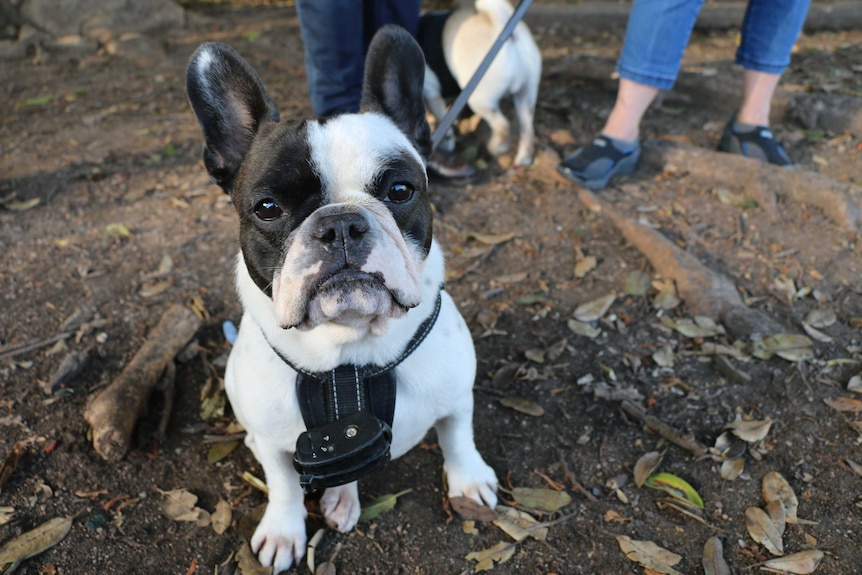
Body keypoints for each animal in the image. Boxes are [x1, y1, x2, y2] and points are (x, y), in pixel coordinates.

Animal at [187, 25, 500, 572]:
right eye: (267, 207)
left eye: (400, 190)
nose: (339, 224)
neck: (349, 351)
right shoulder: (276, 441)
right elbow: (284, 483)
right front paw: (283, 530)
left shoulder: (457, 395)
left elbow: (459, 435)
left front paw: (469, 479)